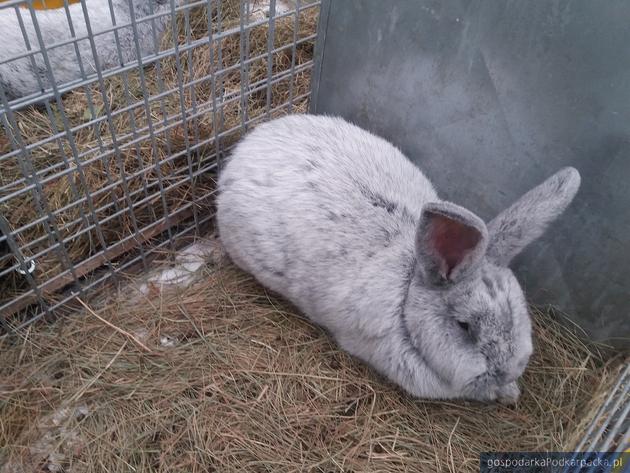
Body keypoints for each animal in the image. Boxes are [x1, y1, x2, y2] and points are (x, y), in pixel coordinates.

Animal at [217, 114, 584, 402]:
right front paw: (504, 393)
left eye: (520, 315)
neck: (408, 289)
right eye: (464, 326)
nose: (506, 372)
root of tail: (246, 146)